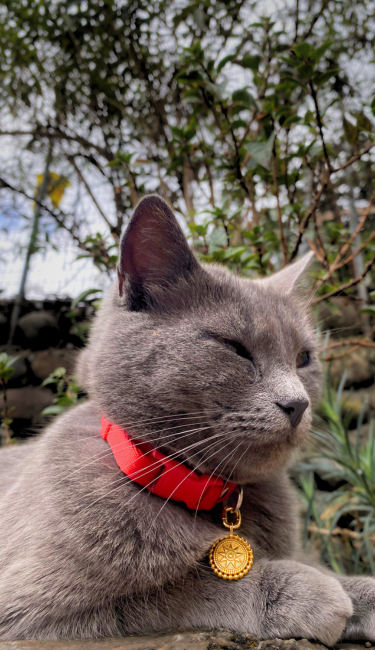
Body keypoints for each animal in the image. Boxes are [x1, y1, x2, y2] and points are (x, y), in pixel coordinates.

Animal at [0, 195, 375, 640]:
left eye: (304, 359)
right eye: (234, 348)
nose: (298, 403)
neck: (200, 491)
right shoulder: (33, 607)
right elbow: (181, 586)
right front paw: (308, 591)